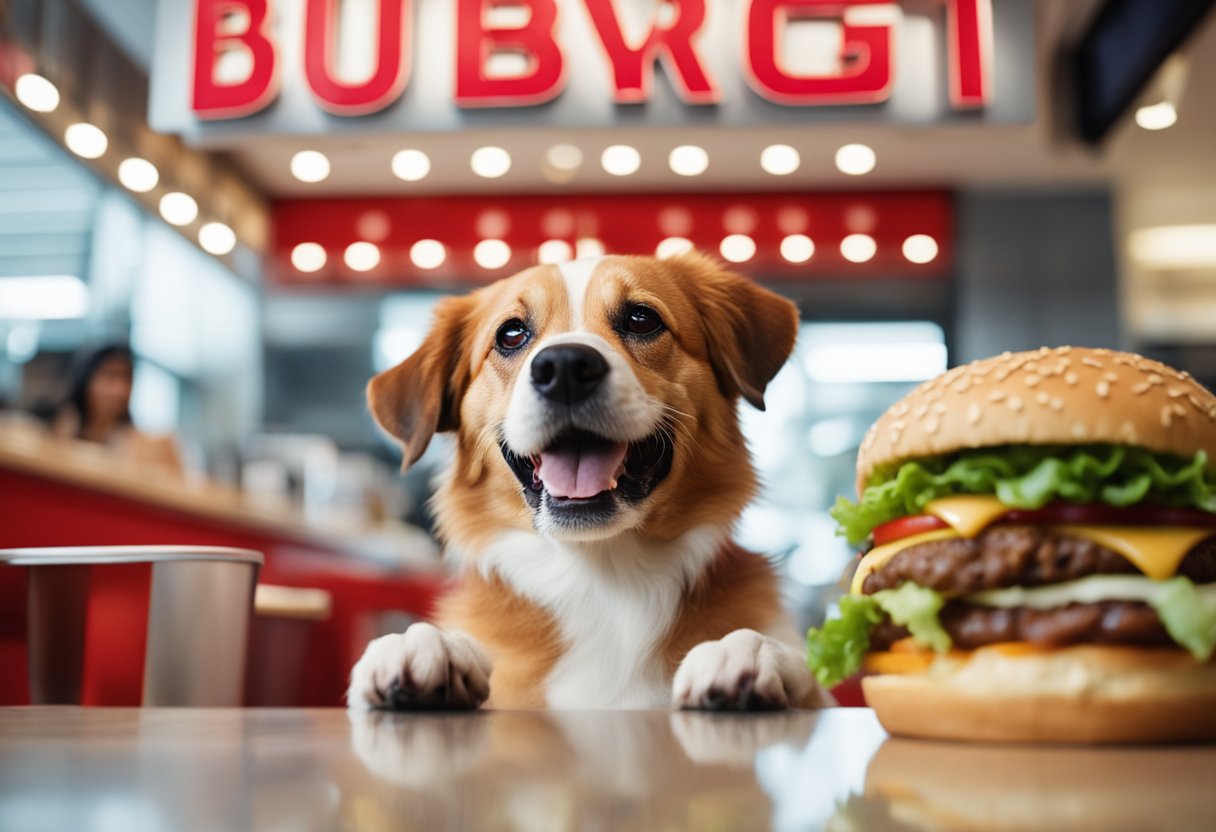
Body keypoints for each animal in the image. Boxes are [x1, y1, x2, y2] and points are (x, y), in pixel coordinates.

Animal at [347, 251, 831, 710]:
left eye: (642, 318)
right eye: (511, 334)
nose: (564, 367)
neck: (603, 580)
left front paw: (744, 649)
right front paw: (425, 643)